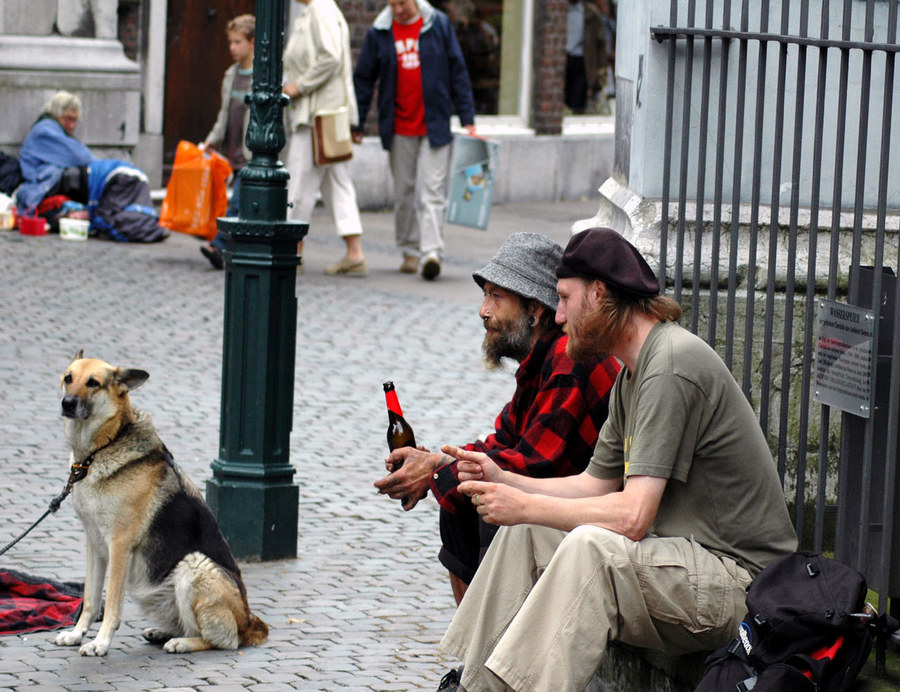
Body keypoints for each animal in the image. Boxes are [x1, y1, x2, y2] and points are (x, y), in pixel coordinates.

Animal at [54, 354, 268, 656]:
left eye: (93, 383)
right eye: (68, 378)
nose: (67, 403)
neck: (104, 446)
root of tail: (250, 621)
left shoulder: (119, 546)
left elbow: (112, 605)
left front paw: (101, 642)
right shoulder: (94, 544)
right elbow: (91, 599)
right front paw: (76, 634)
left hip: (194, 566)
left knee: (222, 640)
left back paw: (182, 642)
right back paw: (162, 633)